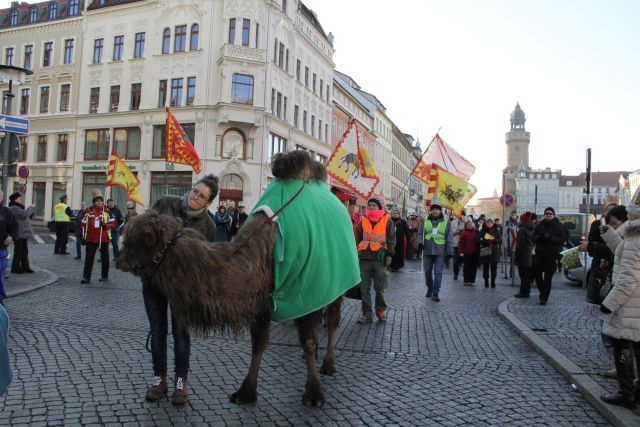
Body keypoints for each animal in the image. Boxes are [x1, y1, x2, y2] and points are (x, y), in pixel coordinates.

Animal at [119, 151, 360, 408]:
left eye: (138, 240)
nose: (119, 257)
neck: (264, 252)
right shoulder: (262, 302)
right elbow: (258, 344)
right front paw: (246, 391)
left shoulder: (308, 292)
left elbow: (309, 342)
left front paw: (314, 394)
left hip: (337, 283)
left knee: (333, 321)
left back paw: (329, 364)